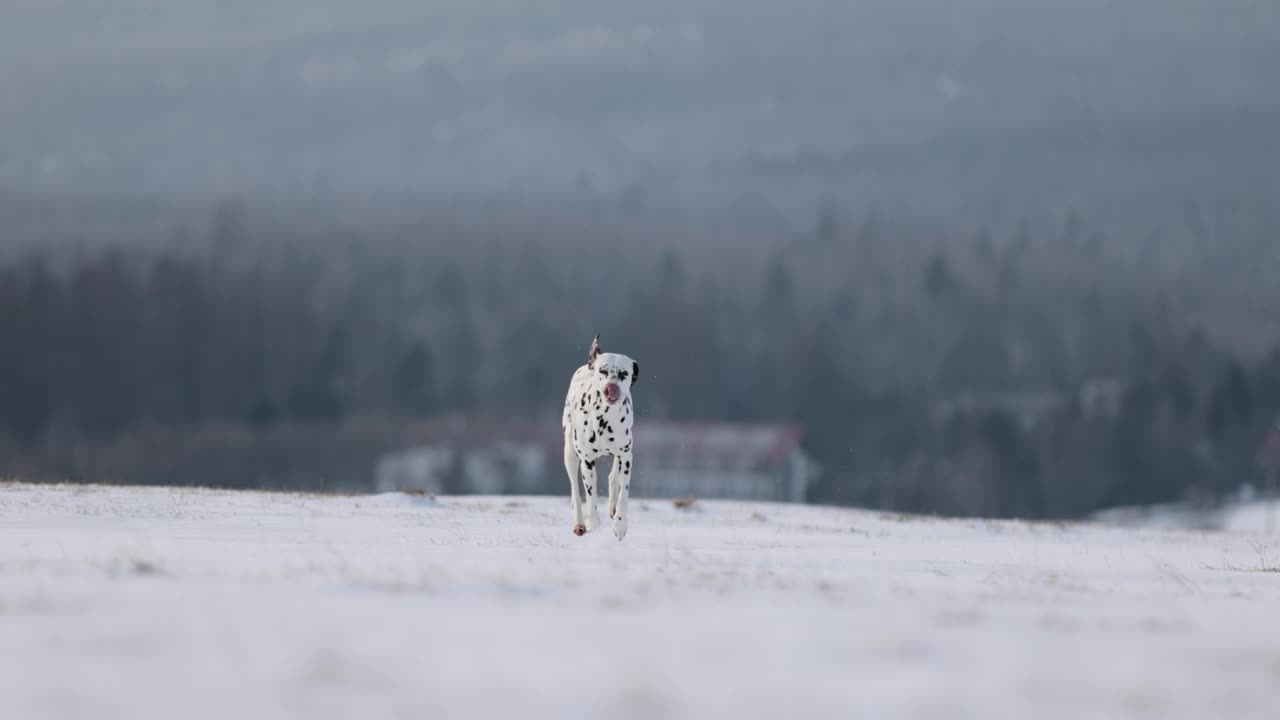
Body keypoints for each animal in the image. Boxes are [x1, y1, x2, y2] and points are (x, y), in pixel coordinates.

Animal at [563, 333, 637, 535]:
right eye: (602, 371)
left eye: (623, 374)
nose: (610, 388)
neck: (606, 419)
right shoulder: (587, 461)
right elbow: (590, 497)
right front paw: (593, 522)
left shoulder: (626, 456)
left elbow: (623, 492)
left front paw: (620, 524)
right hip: (570, 453)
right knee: (575, 490)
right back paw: (579, 523)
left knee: (613, 477)